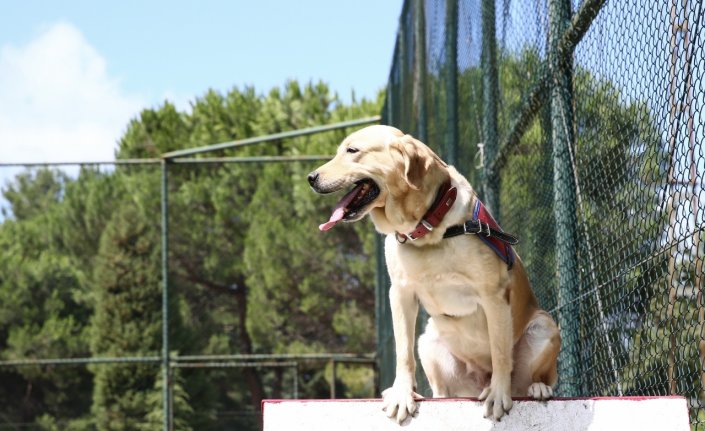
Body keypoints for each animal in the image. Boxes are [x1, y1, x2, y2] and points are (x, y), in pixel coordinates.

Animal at [306, 125, 560, 422]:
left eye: (352, 150)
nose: (311, 178)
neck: (426, 227)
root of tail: (479, 379)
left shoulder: (494, 295)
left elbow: (500, 352)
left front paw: (498, 394)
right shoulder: (400, 293)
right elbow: (403, 352)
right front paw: (402, 394)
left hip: (544, 326)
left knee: (534, 376)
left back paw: (537, 388)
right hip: (429, 341)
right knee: (440, 389)